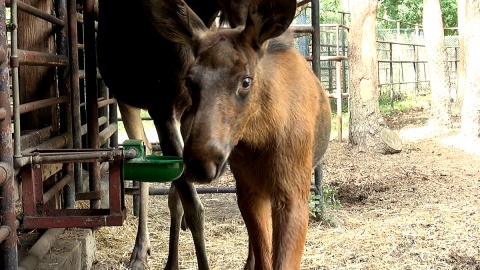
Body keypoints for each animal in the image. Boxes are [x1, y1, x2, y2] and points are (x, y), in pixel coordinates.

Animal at [96, 0, 249, 270]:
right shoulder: (162, 108)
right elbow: (193, 206)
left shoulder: (191, 110)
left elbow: (176, 197)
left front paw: (173, 261)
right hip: (126, 97)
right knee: (141, 151)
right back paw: (139, 250)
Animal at [146, 0, 332, 268]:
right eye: (189, 81)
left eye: (246, 80)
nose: (200, 162)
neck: (262, 138)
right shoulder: (248, 191)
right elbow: (263, 256)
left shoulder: (293, 192)